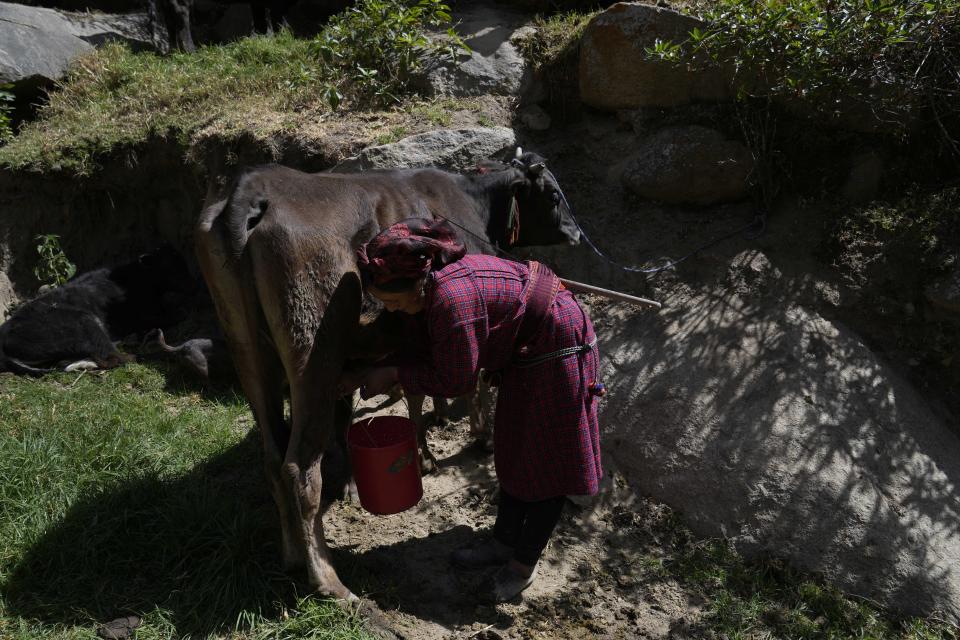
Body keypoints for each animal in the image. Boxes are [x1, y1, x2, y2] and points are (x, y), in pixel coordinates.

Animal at [0, 245, 195, 376]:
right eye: (172, 268)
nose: (192, 285)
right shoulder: (140, 315)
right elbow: (169, 316)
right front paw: (181, 311)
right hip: (84, 323)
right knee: (111, 357)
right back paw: (139, 355)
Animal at [197, 152, 576, 604]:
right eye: (553, 194)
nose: (575, 233)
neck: (470, 200)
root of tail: (251, 185)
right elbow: (469, 380)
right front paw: (472, 438)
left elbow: (401, 396)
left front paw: (422, 443)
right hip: (313, 348)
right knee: (299, 466)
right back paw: (328, 580)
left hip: (248, 350)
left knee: (274, 457)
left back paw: (292, 555)